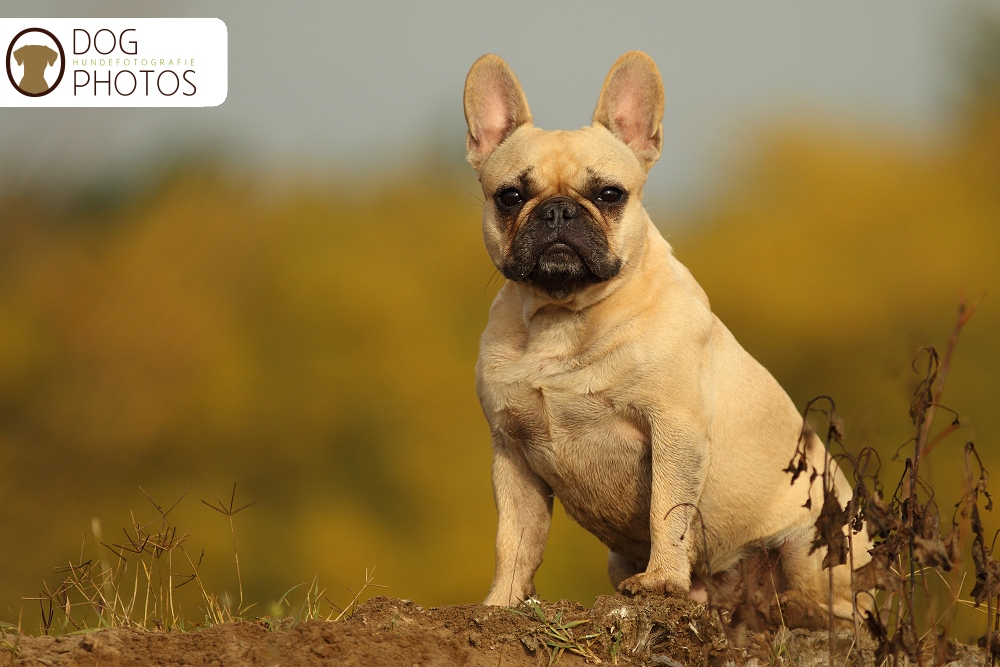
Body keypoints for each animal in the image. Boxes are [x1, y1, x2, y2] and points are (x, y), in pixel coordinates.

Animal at [464, 52, 872, 620]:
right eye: (510, 196)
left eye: (609, 194)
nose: (558, 210)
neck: (563, 317)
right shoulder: (512, 453)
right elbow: (516, 539)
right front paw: (500, 603)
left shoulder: (674, 430)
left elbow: (667, 509)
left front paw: (660, 582)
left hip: (812, 541)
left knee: (837, 608)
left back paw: (789, 608)